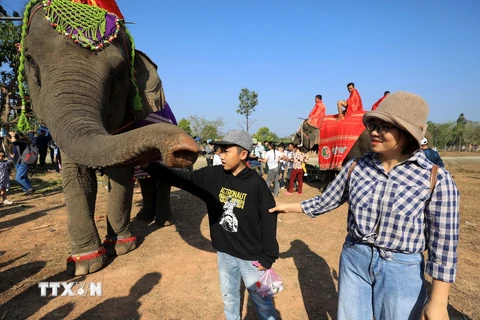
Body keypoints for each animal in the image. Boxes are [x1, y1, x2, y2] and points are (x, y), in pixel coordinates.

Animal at [19, 0, 200, 276]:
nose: (185, 151)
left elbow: (121, 175)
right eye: (30, 62)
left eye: (119, 74)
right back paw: (144, 218)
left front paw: (122, 247)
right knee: (148, 179)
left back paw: (163, 222)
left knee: (159, 180)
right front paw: (84, 265)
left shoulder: (127, 122)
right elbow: (77, 176)